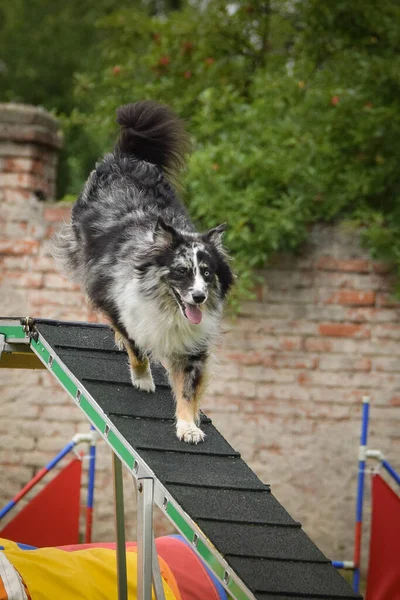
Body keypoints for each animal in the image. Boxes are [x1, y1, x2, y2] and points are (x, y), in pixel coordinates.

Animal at [54, 101, 233, 442]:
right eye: (181, 271)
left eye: (207, 273)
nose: (199, 298)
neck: (166, 306)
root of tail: (126, 156)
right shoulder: (121, 305)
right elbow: (135, 344)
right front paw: (143, 378)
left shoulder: (191, 345)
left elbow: (188, 388)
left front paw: (189, 426)